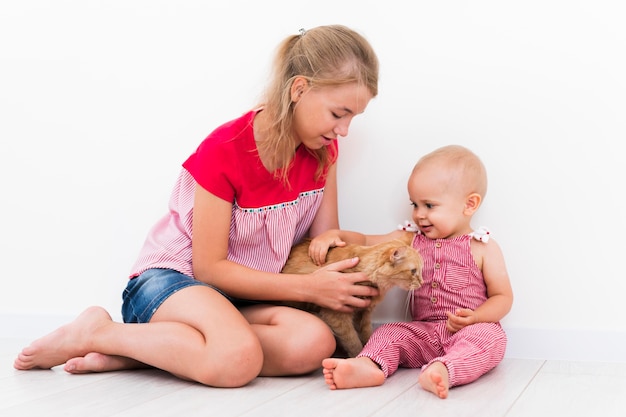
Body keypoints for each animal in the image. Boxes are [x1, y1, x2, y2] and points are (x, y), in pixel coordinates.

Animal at [282, 236, 422, 356]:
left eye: (420, 270)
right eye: (413, 271)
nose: (422, 282)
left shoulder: (364, 313)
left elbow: (366, 335)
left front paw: (368, 347)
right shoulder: (337, 316)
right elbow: (352, 341)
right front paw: (357, 356)